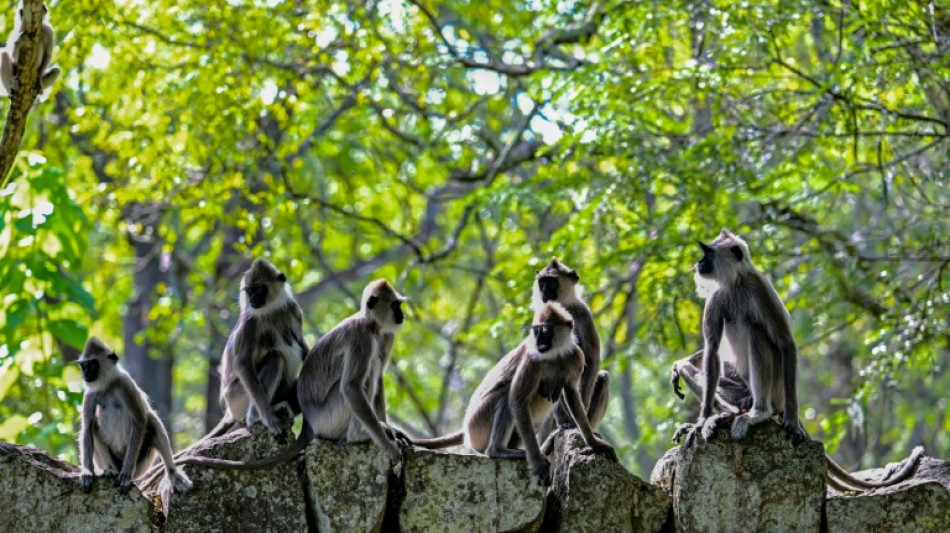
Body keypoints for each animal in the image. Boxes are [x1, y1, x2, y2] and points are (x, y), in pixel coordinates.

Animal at [77, 337, 192, 494]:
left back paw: (173, 474)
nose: (86, 373)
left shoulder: (124, 383)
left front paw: (126, 473)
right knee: (94, 427)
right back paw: (110, 471)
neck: (107, 386)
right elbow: (88, 427)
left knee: (152, 421)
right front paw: (87, 472)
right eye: (84, 365)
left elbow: (140, 420)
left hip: (141, 466)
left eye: (93, 364)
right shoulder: (89, 394)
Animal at [169, 279, 410, 471]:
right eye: (395, 305)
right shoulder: (362, 339)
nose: (401, 315)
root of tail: (309, 424)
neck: (369, 324)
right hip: (329, 415)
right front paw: (389, 449)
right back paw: (356, 436)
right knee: (361, 380)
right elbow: (351, 387)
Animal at [414, 302, 617, 486]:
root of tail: (466, 428)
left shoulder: (574, 356)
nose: (538, 339)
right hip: (478, 424)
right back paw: (498, 451)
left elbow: (572, 395)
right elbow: (517, 399)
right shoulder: (533, 359)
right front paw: (536, 461)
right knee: (506, 396)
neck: (554, 354)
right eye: (537, 331)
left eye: (546, 330)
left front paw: (593, 442)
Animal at [532, 258, 610, 452]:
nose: (544, 291)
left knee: (603, 377)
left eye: (552, 283)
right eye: (542, 283)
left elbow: (592, 359)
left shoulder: (582, 312)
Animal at [672, 229, 923, 491]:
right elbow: (712, 350)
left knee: (757, 331)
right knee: (703, 370)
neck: (735, 284)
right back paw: (723, 415)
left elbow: (786, 344)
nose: (699, 262)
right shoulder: (717, 297)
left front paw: (791, 422)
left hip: (776, 390)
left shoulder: (759, 288)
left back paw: (758, 413)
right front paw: (701, 420)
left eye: (708, 254)